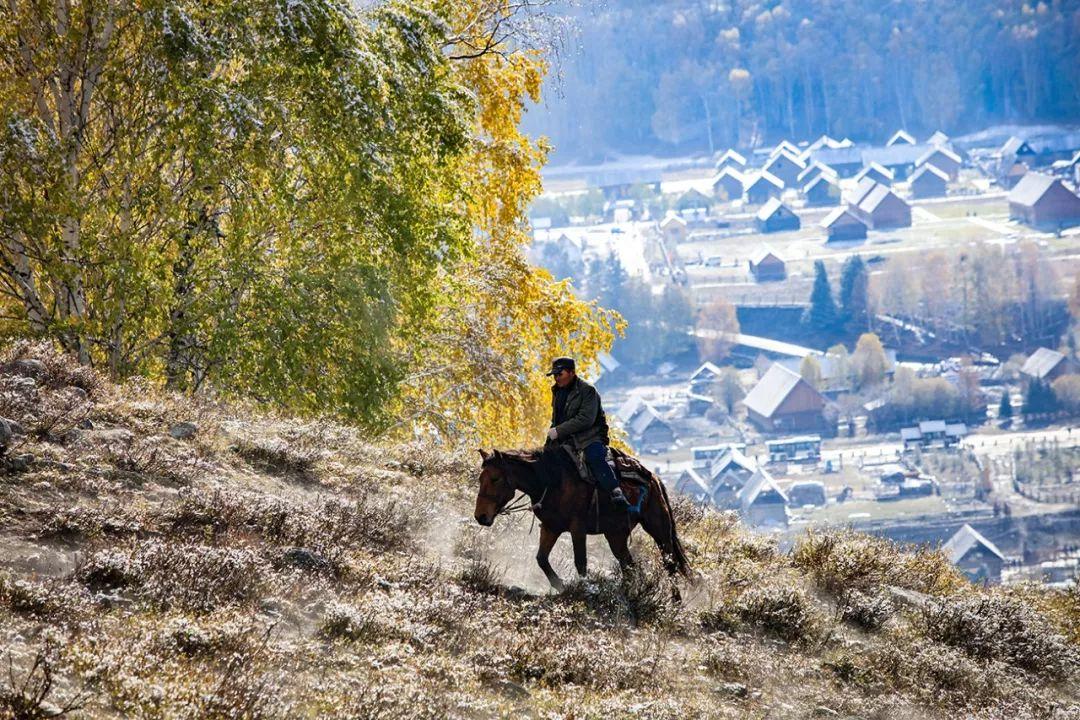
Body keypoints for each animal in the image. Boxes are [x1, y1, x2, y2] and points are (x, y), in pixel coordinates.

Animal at [473, 444, 691, 595]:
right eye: (480, 479)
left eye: (495, 478)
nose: (480, 516)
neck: (550, 480)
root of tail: (654, 478)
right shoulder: (550, 527)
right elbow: (541, 559)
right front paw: (560, 585)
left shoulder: (578, 529)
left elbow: (580, 562)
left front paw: (585, 589)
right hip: (616, 535)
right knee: (628, 565)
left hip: (659, 529)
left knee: (670, 565)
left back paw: (675, 603)